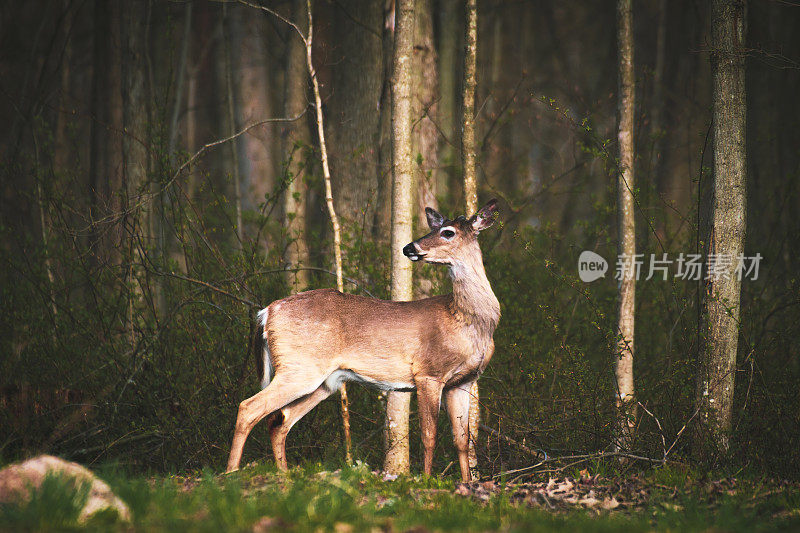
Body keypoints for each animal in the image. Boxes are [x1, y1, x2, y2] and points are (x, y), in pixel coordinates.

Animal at [225, 197, 500, 480]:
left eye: (448, 232)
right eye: (435, 228)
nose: (409, 247)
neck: (467, 321)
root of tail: (266, 312)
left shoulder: (463, 381)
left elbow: (462, 440)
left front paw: (467, 483)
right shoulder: (428, 372)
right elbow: (429, 435)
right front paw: (424, 480)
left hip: (323, 381)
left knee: (279, 421)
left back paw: (284, 474)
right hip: (299, 367)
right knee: (249, 407)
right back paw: (231, 472)